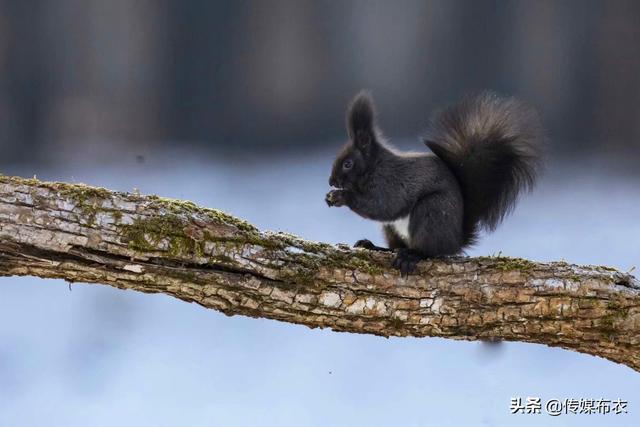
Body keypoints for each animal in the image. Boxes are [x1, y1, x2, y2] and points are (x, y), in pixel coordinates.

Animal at [328, 91, 544, 278]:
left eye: (348, 164)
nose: (331, 181)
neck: (374, 167)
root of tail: (455, 240)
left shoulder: (390, 182)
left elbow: (383, 206)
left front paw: (342, 196)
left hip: (431, 212)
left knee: (430, 251)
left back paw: (412, 256)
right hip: (391, 229)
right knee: (396, 246)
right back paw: (373, 246)